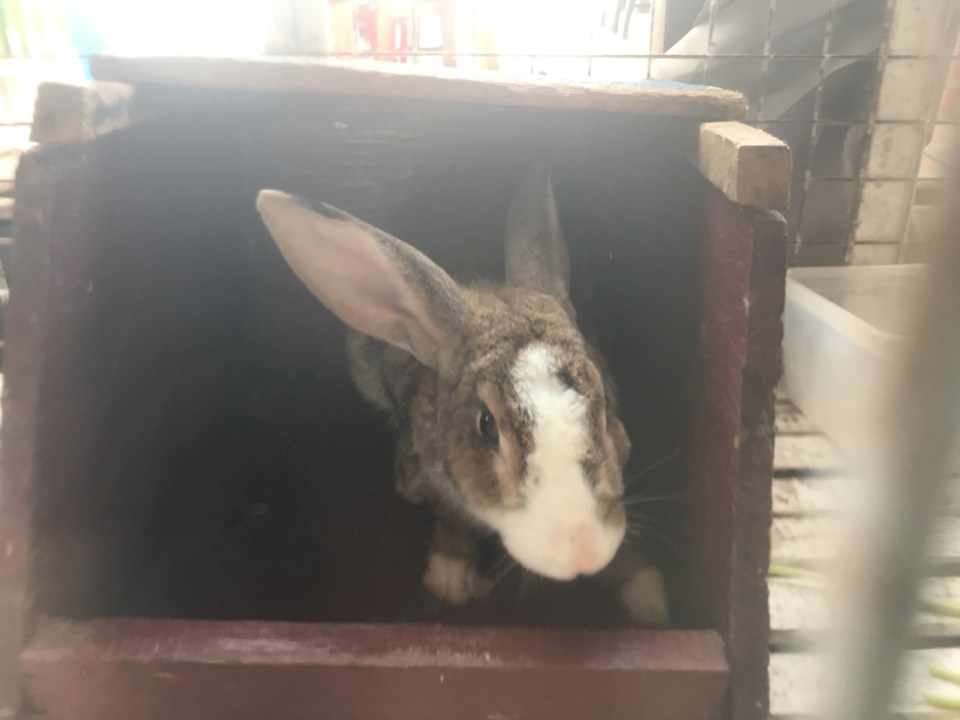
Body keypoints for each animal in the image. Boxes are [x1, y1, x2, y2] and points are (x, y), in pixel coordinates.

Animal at [255, 166, 670, 627]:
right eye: (486, 426)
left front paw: (649, 596)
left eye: (605, 403)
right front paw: (450, 577)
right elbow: (449, 515)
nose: (581, 552)